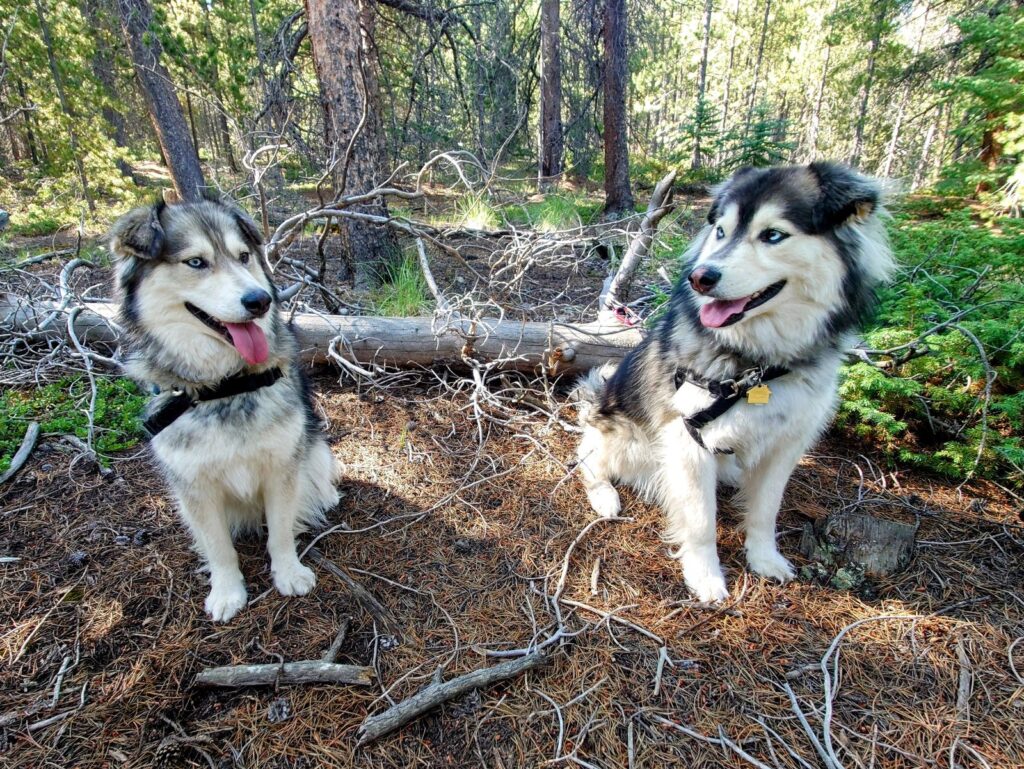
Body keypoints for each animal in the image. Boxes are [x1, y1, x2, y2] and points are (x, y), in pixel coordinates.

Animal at [109, 198, 339, 618]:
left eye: (243, 256)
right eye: (196, 262)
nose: (260, 300)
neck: (225, 386)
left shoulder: (281, 467)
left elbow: (280, 531)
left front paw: (288, 572)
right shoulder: (194, 486)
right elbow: (218, 547)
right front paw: (228, 592)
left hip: (310, 443)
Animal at [577, 165, 897, 606]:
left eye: (773, 235)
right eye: (721, 231)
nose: (699, 278)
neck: (759, 365)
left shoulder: (786, 445)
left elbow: (765, 509)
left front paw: (764, 558)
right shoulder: (688, 440)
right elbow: (700, 520)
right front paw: (705, 577)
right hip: (623, 439)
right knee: (588, 459)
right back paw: (605, 496)